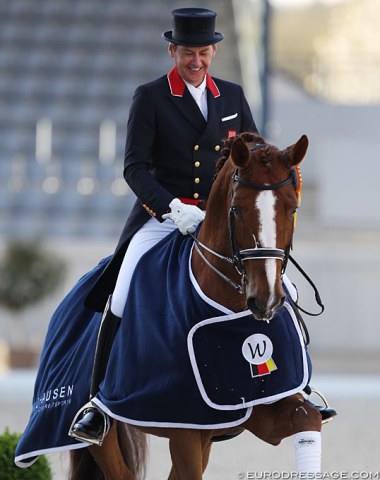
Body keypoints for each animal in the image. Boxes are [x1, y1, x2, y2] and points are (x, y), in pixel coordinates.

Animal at [69, 132, 324, 480]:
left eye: (292, 208)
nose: (266, 300)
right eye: (237, 209)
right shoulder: (185, 428)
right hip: (104, 437)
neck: (230, 305)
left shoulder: (258, 409)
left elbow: (306, 416)